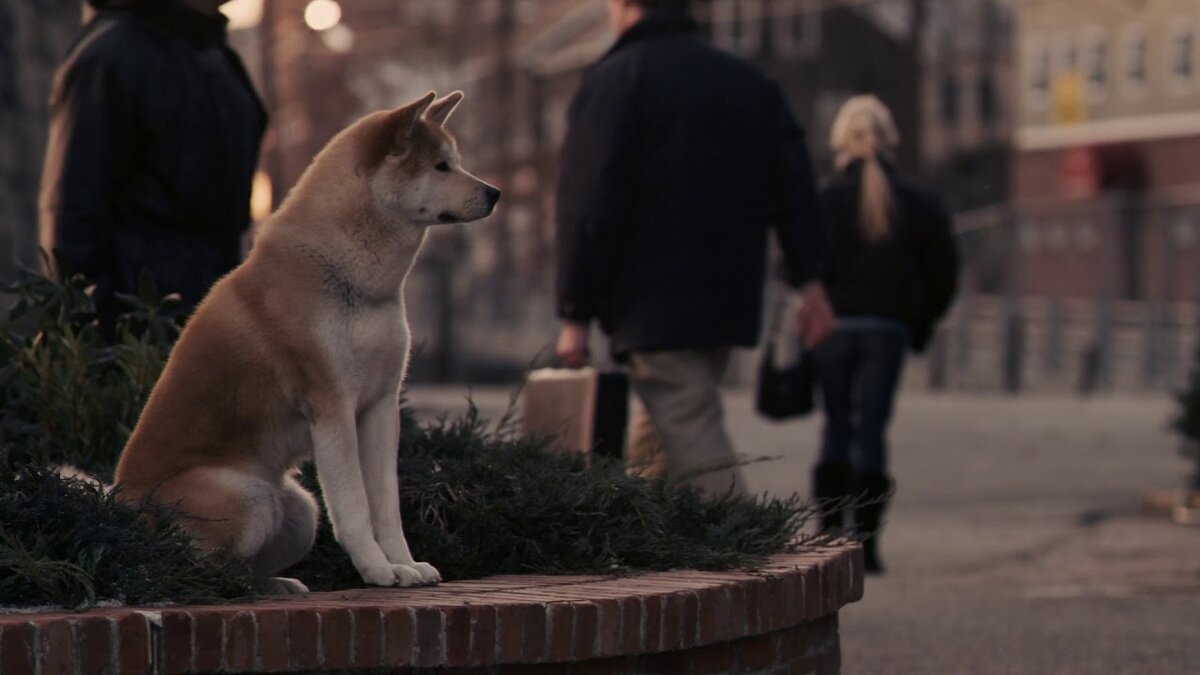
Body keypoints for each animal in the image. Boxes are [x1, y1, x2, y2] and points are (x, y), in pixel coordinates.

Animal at [114, 91, 499, 590]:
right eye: (440, 166)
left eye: (457, 162)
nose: (495, 193)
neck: (351, 279)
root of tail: (117, 505)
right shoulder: (332, 406)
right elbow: (354, 506)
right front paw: (377, 570)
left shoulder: (381, 406)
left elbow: (387, 506)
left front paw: (406, 564)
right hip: (247, 498)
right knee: (199, 569)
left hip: (300, 510)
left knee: (244, 565)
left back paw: (276, 586)